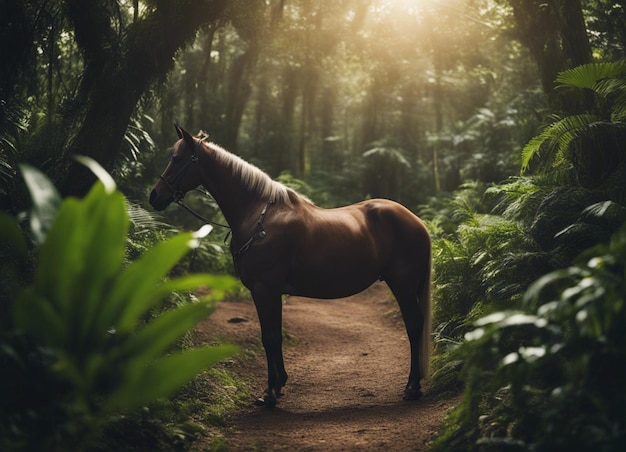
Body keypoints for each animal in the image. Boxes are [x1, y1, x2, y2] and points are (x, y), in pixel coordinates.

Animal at [147, 125, 428, 408]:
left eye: (178, 159)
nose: (155, 195)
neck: (260, 219)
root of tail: (417, 222)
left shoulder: (264, 289)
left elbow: (269, 337)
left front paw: (270, 392)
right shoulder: (270, 292)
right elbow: (274, 335)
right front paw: (279, 383)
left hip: (402, 285)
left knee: (414, 327)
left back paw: (412, 388)